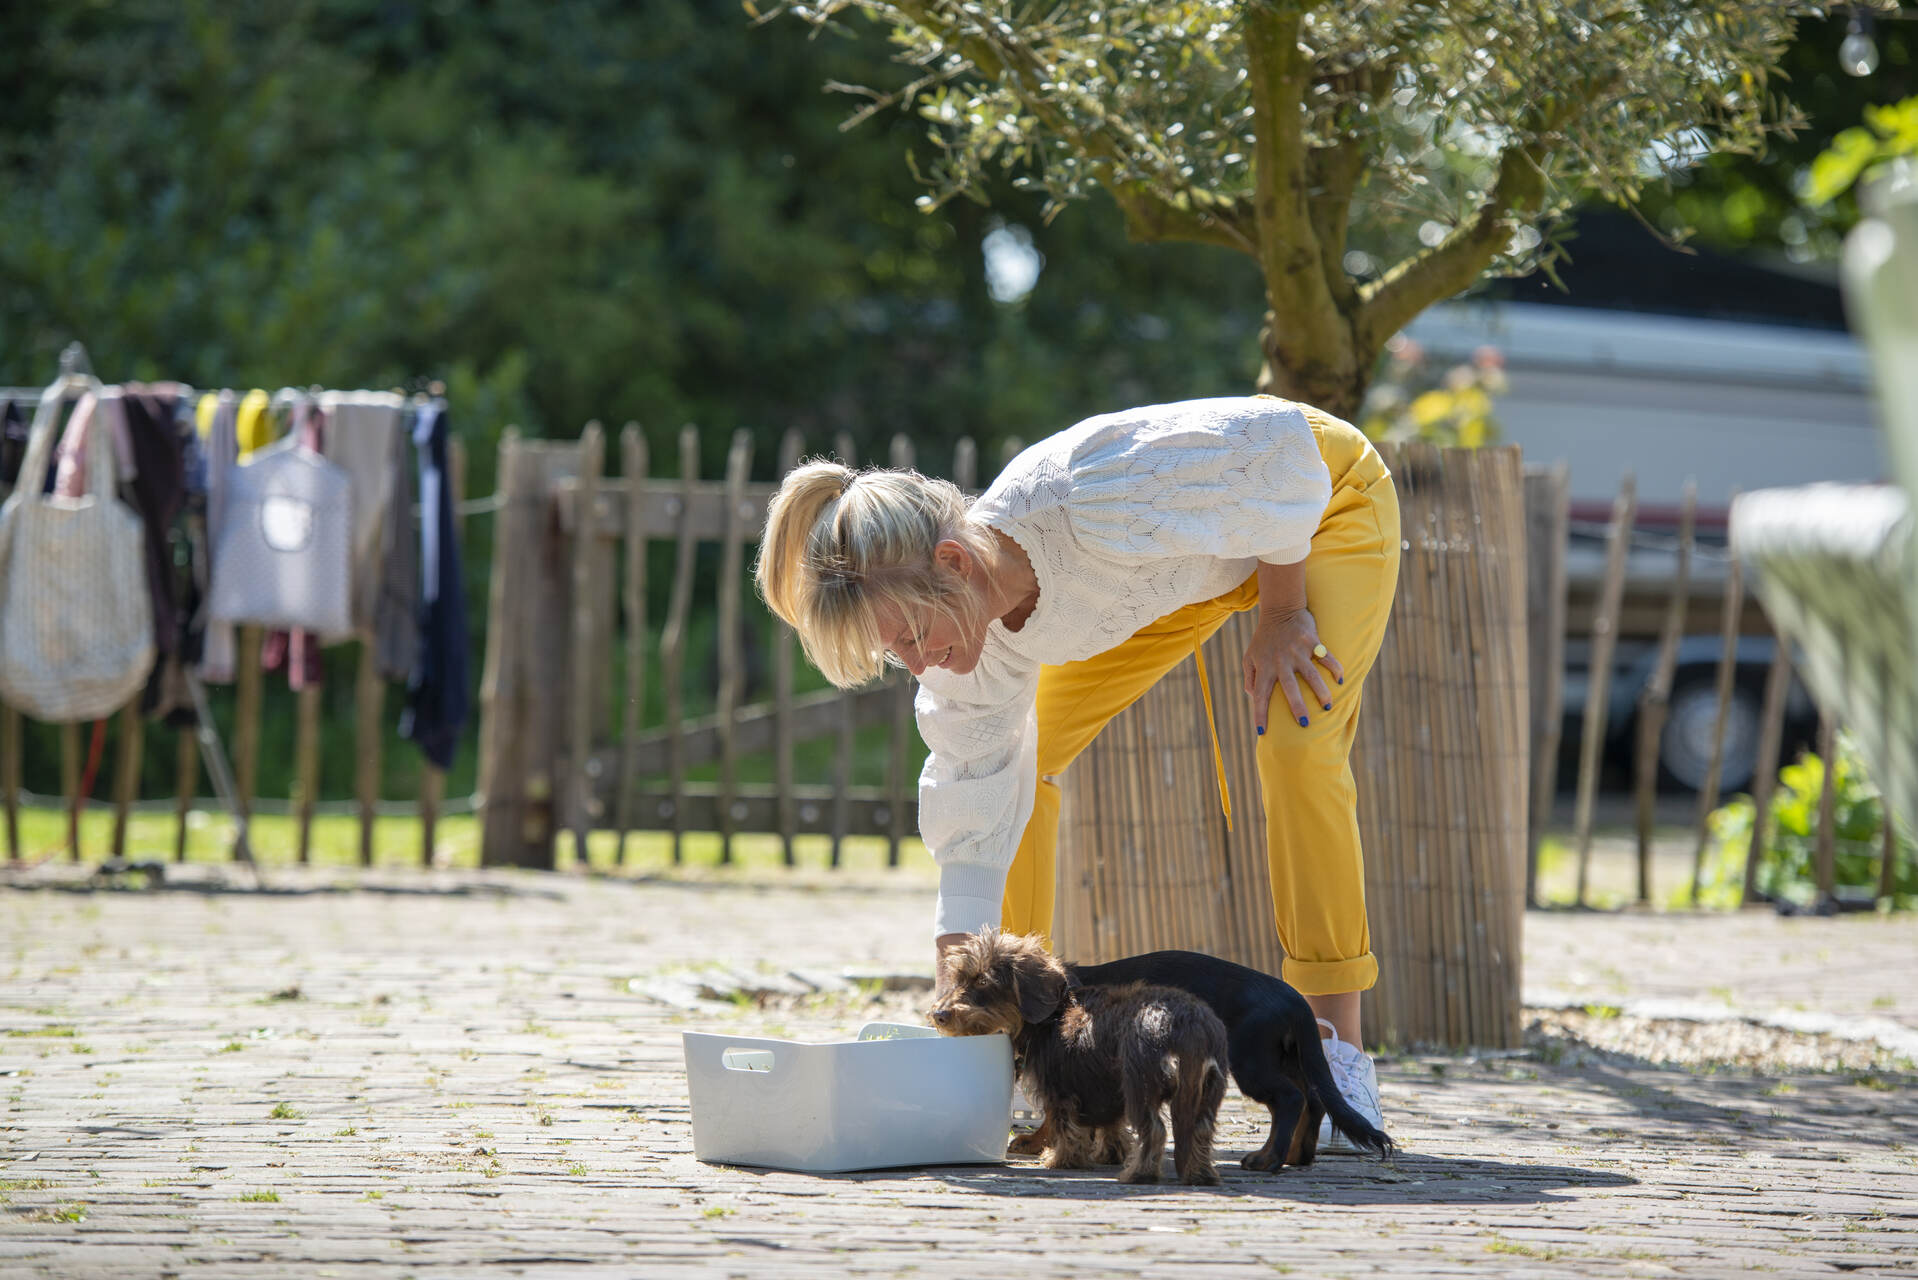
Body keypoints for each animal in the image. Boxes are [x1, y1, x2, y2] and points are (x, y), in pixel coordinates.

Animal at [928, 924, 1227, 1189]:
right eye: (958, 978)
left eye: (982, 981)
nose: (939, 1015)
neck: (1054, 1014)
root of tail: (1187, 1023)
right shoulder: (1102, 1088)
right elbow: (1109, 1124)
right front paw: (1109, 1153)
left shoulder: (1060, 1088)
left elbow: (1064, 1126)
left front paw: (1060, 1159)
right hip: (1207, 1090)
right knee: (1200, 1130)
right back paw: (1200, 1174)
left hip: (1141, 1085)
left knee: (1155, 1130)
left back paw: (1139, 1174)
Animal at [1005, 951, 1396, 1174]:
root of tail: (1293, 997)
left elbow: (1057, 1114)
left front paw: (1037, 1142)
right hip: (1286, 1059)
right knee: (1313, 1098)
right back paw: (1296, 1154)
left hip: (1250, 1061)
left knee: (1290, 1099)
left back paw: (1267, 1159)